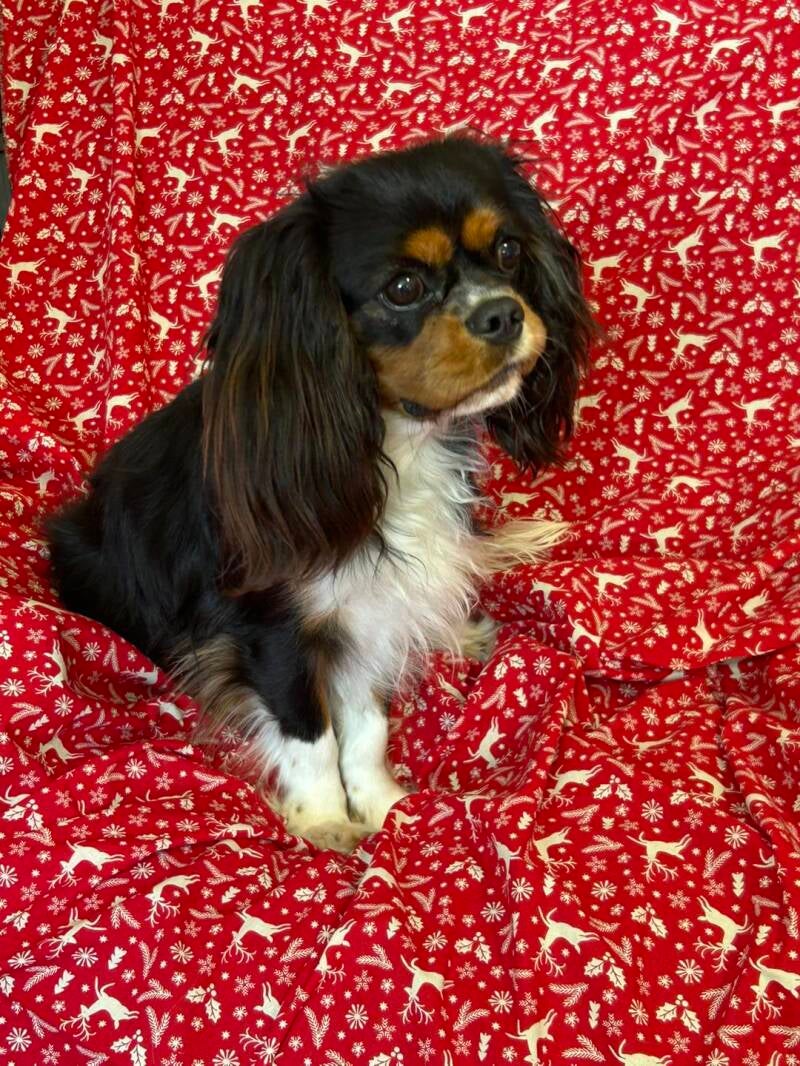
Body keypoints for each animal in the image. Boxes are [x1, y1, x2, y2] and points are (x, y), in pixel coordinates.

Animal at [47, 134, 592, 852]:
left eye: (507, 250)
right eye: (403, 287)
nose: (502, 313)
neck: (395, 445)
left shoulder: (374, 607)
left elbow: (366, 723)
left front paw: (381, 802)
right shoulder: (273, 627)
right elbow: (308, 728)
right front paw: (326, 819)